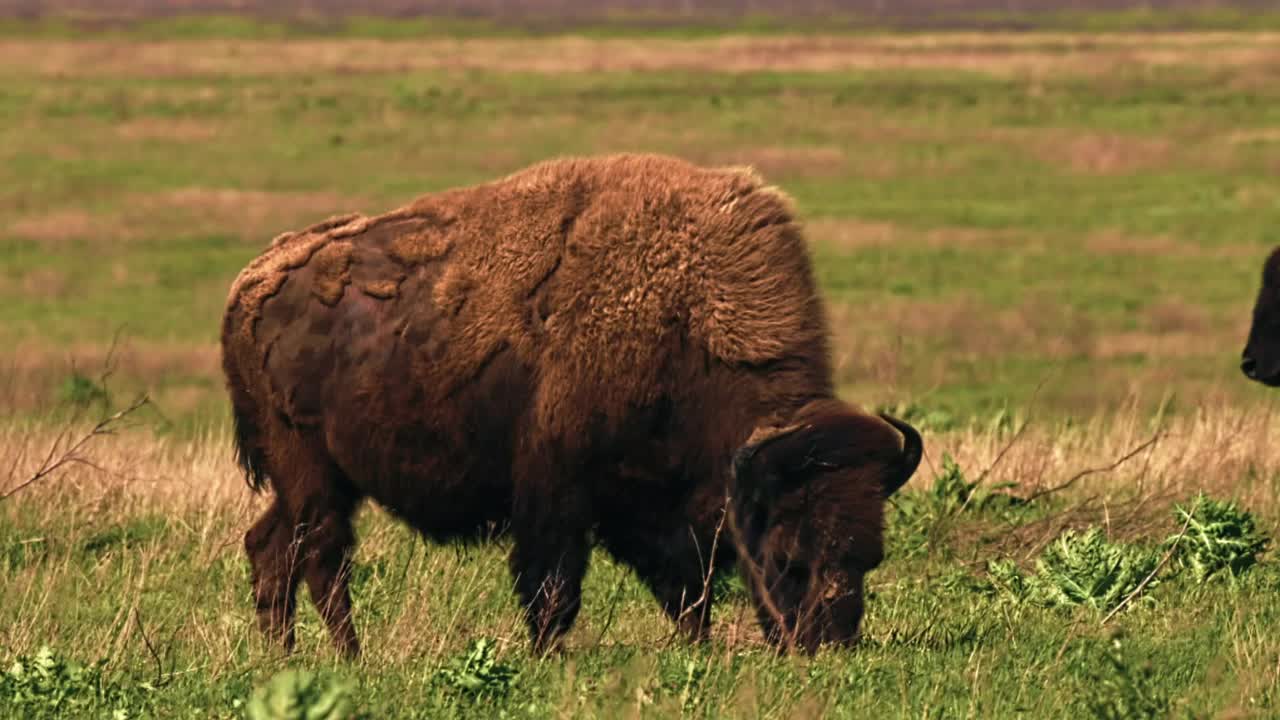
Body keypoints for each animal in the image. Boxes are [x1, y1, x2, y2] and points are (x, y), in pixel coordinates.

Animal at [217, 152, 921, 655]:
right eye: (786, 555)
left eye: (869, 556)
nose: (827, 645)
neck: (685, 318)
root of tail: (249, 283)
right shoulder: (555, 492)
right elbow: (554, 588)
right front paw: (549, 658)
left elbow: (687, 590)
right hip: (310, 471)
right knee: (322, 557)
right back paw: (347, 658)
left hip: (316, 481)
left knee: (271, 548)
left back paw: (285, 657)